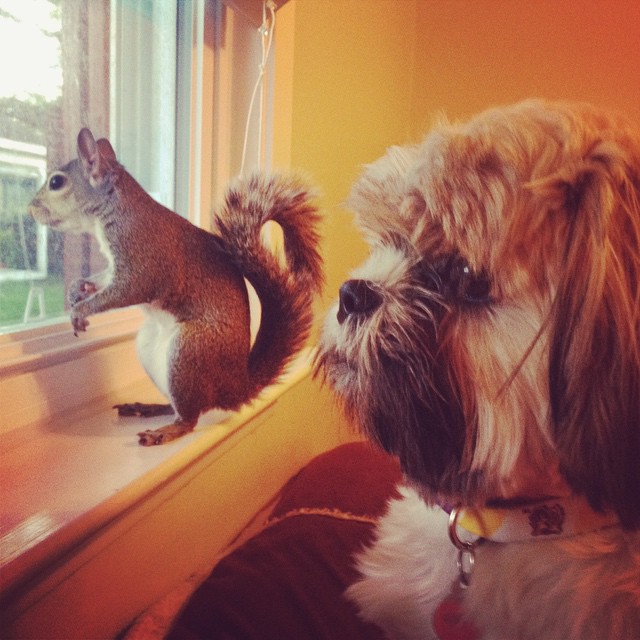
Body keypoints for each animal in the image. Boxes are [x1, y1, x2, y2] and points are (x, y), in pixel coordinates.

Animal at [29, 128, 323, 446]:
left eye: (56, 182)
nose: (30, 209)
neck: (114, 208)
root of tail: (235, 387)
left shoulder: (142, 258)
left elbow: (129, 289)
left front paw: (81, 310)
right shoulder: (114, 265)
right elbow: (103, 279)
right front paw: (77, 288)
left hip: (189, 350)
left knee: (190, 418)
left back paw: (166, 431)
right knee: (176, 406)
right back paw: (148, 408)